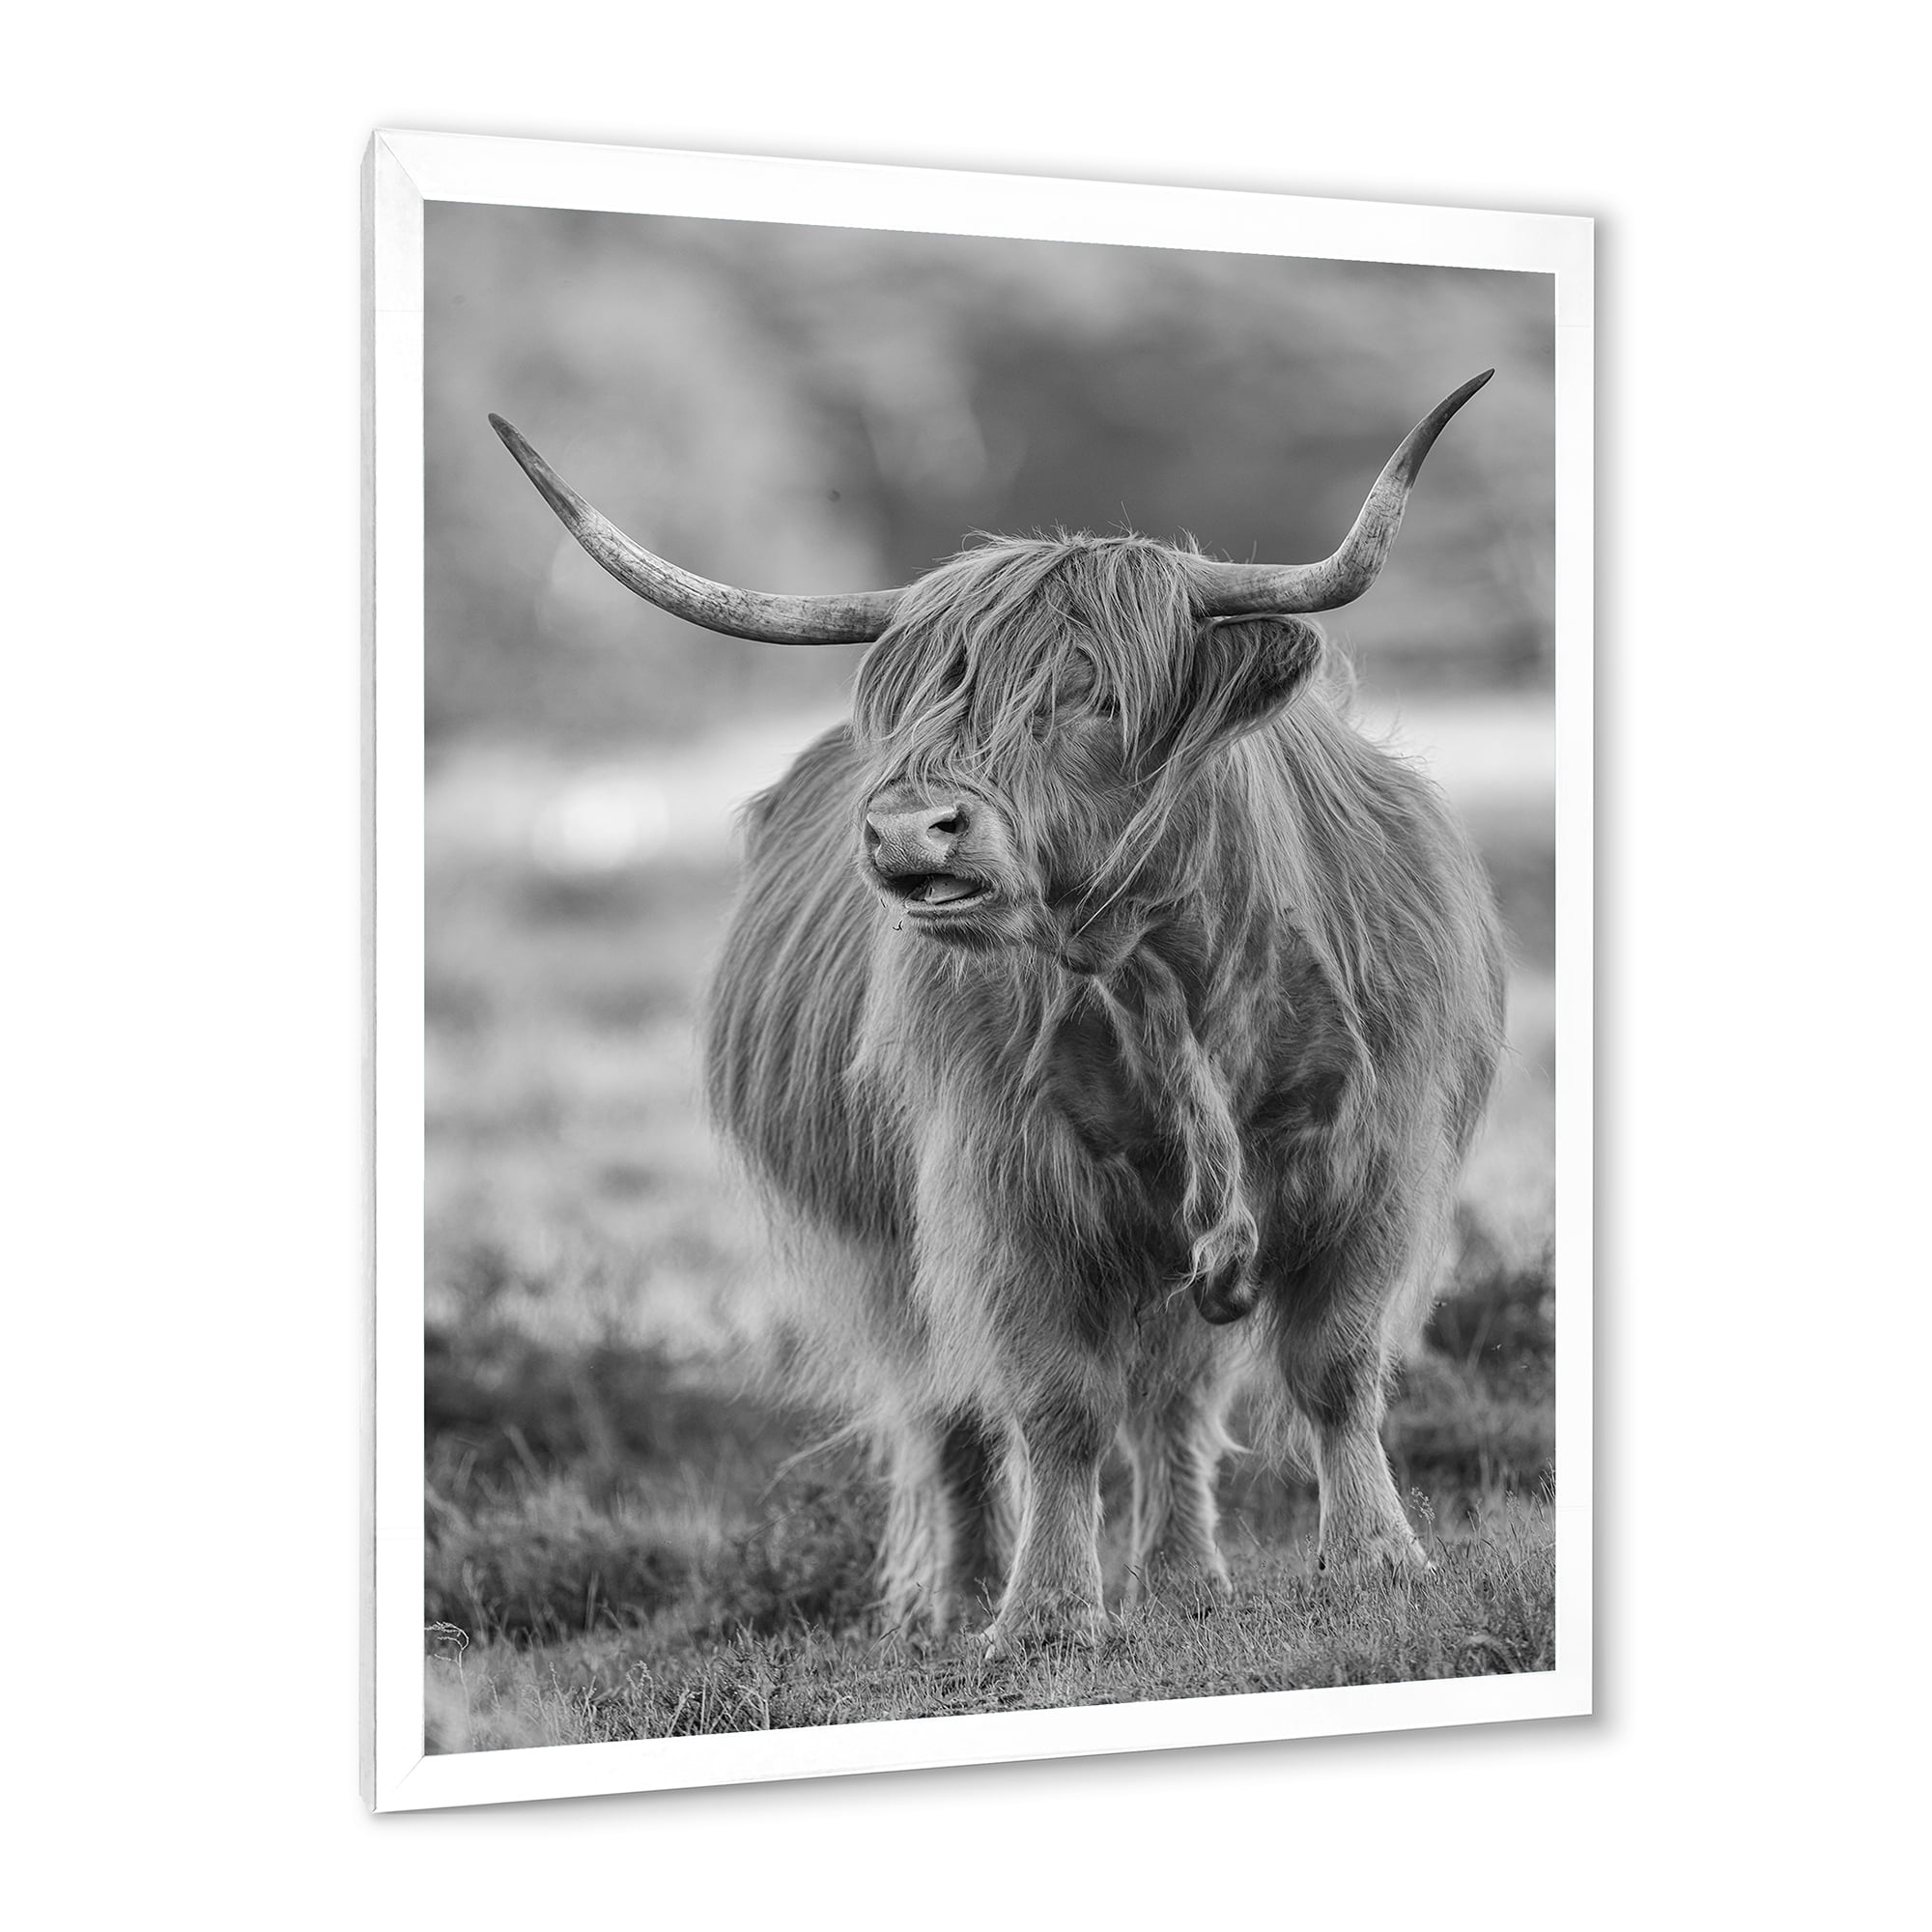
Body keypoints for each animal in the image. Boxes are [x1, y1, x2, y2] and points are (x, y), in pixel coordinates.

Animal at [490, 373, 1507, 1652]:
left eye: (1100, 694)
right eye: (927, 700)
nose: (906, 828)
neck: (1169, 974)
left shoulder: (1373, 1157)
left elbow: (1333, 1364)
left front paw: (1376, 1561)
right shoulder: (1001, 1186)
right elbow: (1052, 1403)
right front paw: (1045, 1612)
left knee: (1172, 1396)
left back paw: (1184, 1576)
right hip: (890, 1251)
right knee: (951, 1411)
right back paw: (955, 1598)